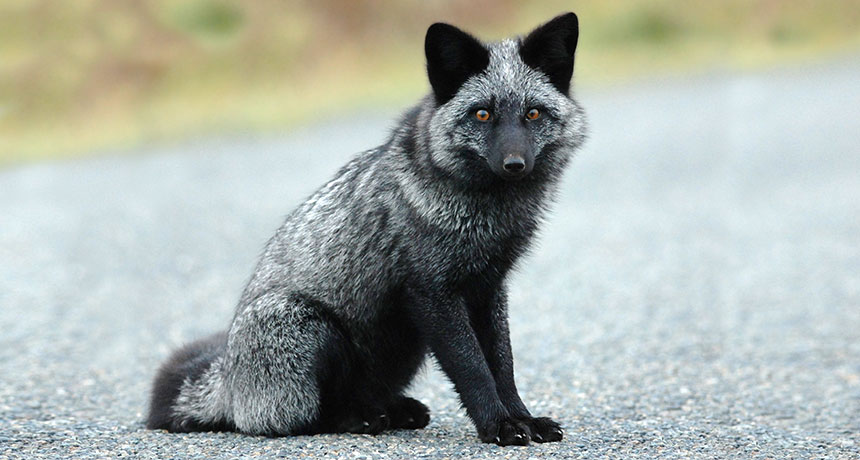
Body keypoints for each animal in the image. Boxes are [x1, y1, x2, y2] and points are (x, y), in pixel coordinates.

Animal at [146, 12, 586, 446]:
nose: (515, 164)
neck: (487, 214)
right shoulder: (433, 293)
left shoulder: (488, 288)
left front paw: (522, 417)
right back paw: (358, 419)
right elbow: (474, 368)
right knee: (302, 418)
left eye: (533, 114)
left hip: (406, 343)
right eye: (482, 114)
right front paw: (499, 425)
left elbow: (502, 364)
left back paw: (392, 410)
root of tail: (229, 383)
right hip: (309, 327)